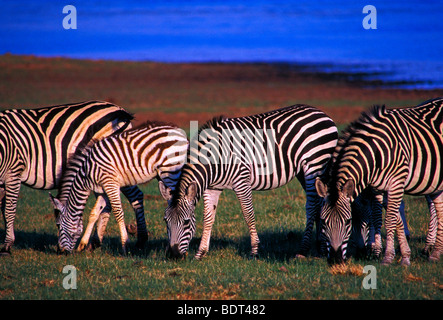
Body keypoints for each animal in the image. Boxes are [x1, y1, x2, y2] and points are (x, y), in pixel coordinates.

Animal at [0, 100, 147, 255]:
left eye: (58, 224)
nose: (61, 251)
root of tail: (118, 109)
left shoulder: (14, 171)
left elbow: (9, 210)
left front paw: (7, 246)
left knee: (136, 195)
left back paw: (141, 240)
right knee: (107, 203)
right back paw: (95, 243)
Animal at [50, 121, 189, 254]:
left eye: (58, 225)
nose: (60, 251)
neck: (87, 172)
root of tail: (180, 132)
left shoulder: (110, 183)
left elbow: (118, 213)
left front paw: (125, 245)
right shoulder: (103, 188)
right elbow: (94, 213)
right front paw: (82, 245)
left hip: (170, 172)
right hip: (163, 175)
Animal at [161, 105, 338, 260]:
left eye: (186, 222)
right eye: (166, 222)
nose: (173, 255)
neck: (214, 161)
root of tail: (321, 113)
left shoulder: (241, 181)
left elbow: (248, 215)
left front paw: (255, 251)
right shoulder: (212, 188)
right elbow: (208, 218)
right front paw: (201, 253)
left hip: (315, 164)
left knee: (312, 206)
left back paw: (303, 250)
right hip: (304, 171)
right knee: (319, 203)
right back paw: (321, 247)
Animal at [316, 97, 443, 264]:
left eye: (348, 221)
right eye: (323, 221)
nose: (336, 260)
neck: (376, 154)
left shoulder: (396, 183)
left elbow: (389, 220)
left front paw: (388, 257)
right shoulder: (378, 188)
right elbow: (387, 218)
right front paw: (404, 256)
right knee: (439, 210)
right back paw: (436, 253)